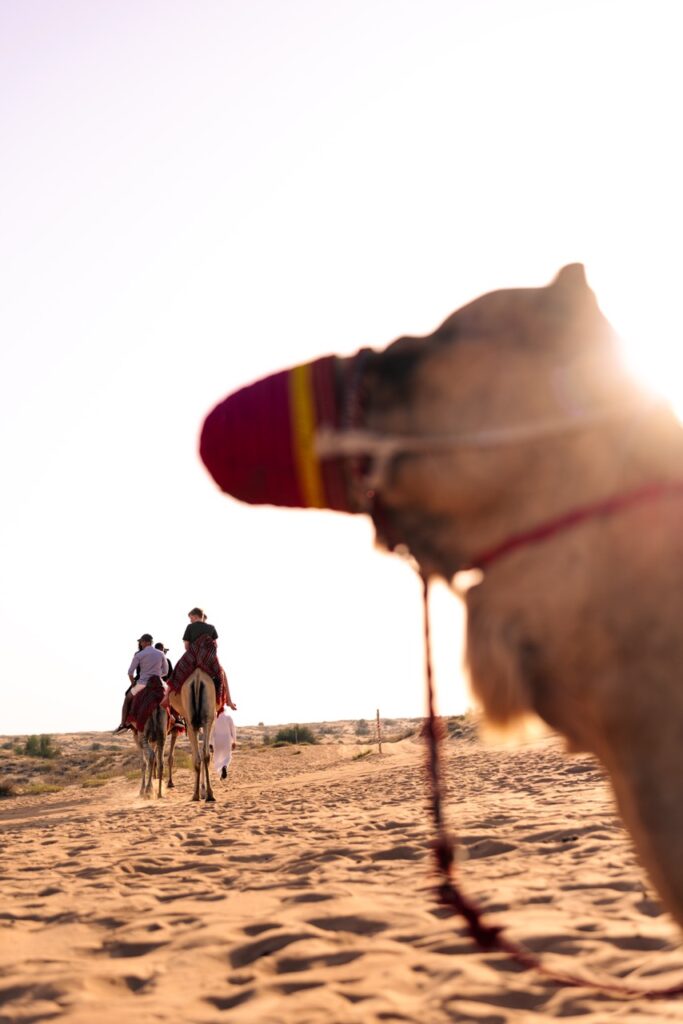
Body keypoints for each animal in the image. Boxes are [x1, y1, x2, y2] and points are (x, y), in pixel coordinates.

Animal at [168, 669, 216, 802]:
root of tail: (198, 677)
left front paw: (202, 791)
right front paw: (203, 791)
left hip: (192, 722)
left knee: (199, 756)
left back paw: (197, 794)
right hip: (206, 719)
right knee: (205, 754)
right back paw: (207, 795)